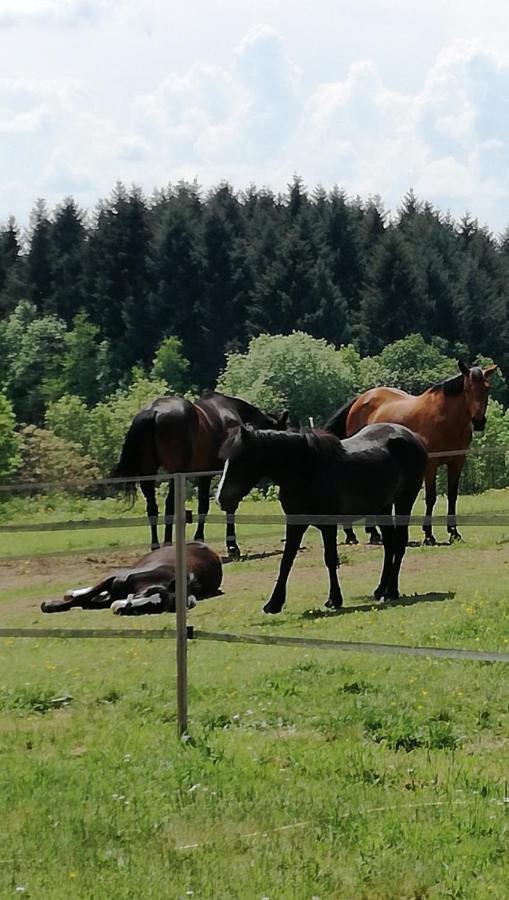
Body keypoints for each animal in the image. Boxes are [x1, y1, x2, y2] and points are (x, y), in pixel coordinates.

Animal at [111, 390, 288, 560]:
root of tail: (154, 411)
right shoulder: (213, 474)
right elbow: (217, 505)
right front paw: (231, 547)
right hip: (176, 472)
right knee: (170, 505)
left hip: (148, 472)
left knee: (152, 507)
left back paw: (155, 547)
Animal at [326, 360, 496, 544]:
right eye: (467, 389)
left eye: (487, 388)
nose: (479, 421)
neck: (445, 418)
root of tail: (361, 399)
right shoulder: (431, 465)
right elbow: (430, 497)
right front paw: (429, 535)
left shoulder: (457, 462)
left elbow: (452, 496)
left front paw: (454, 532)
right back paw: (356, 534)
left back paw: (370, 533)